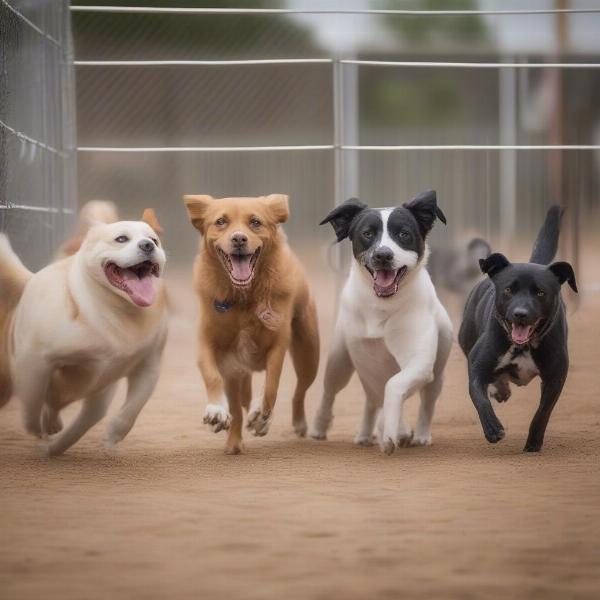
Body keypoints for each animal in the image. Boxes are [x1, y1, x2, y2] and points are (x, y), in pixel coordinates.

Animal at [0, 211, 168, 454]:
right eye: (121, 239)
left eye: (154, 240)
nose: (147, 245)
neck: (119, 313)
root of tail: (32, 278)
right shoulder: (34, 361)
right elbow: (32, 402)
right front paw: (36, 430)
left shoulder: (148, 366)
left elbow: (130, 411)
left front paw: (112, 437)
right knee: (47, 404)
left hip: (100, 393)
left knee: (78, 417)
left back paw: (55, 443)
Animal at [184, 195, 318, 452]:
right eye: (221, 221)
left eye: (255, 222)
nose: (239, 238)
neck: (243, 297)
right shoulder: (208, 343)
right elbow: (212, 377)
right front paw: (216, 412)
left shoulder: (278, 343)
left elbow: (271, 386)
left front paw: (261, 418)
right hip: (235, 371)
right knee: (239, 405)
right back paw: (234, 442)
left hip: (309, 355)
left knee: (299, 391)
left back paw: (295, 423)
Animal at [312, 190, 452, 452]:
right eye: (367, 233)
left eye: (404, 234)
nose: (383, 254)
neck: (382, 305)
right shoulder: (365, 360)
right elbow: (378, 392)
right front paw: (388, 430)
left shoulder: (418, 363)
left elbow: (392, 386)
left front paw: (391, 433)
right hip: (339, 361)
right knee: (332, 391)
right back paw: (325, 428)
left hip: (436, 374)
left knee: (426, 401)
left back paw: (418, 435)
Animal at [460, 206, 576, 450]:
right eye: (508, 290)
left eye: (540, 292)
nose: (520, 314)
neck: (522, 346)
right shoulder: (477, 366)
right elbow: (479, 397)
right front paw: (493, 429)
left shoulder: (555, 377)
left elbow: (542, 413)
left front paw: (533, 443)